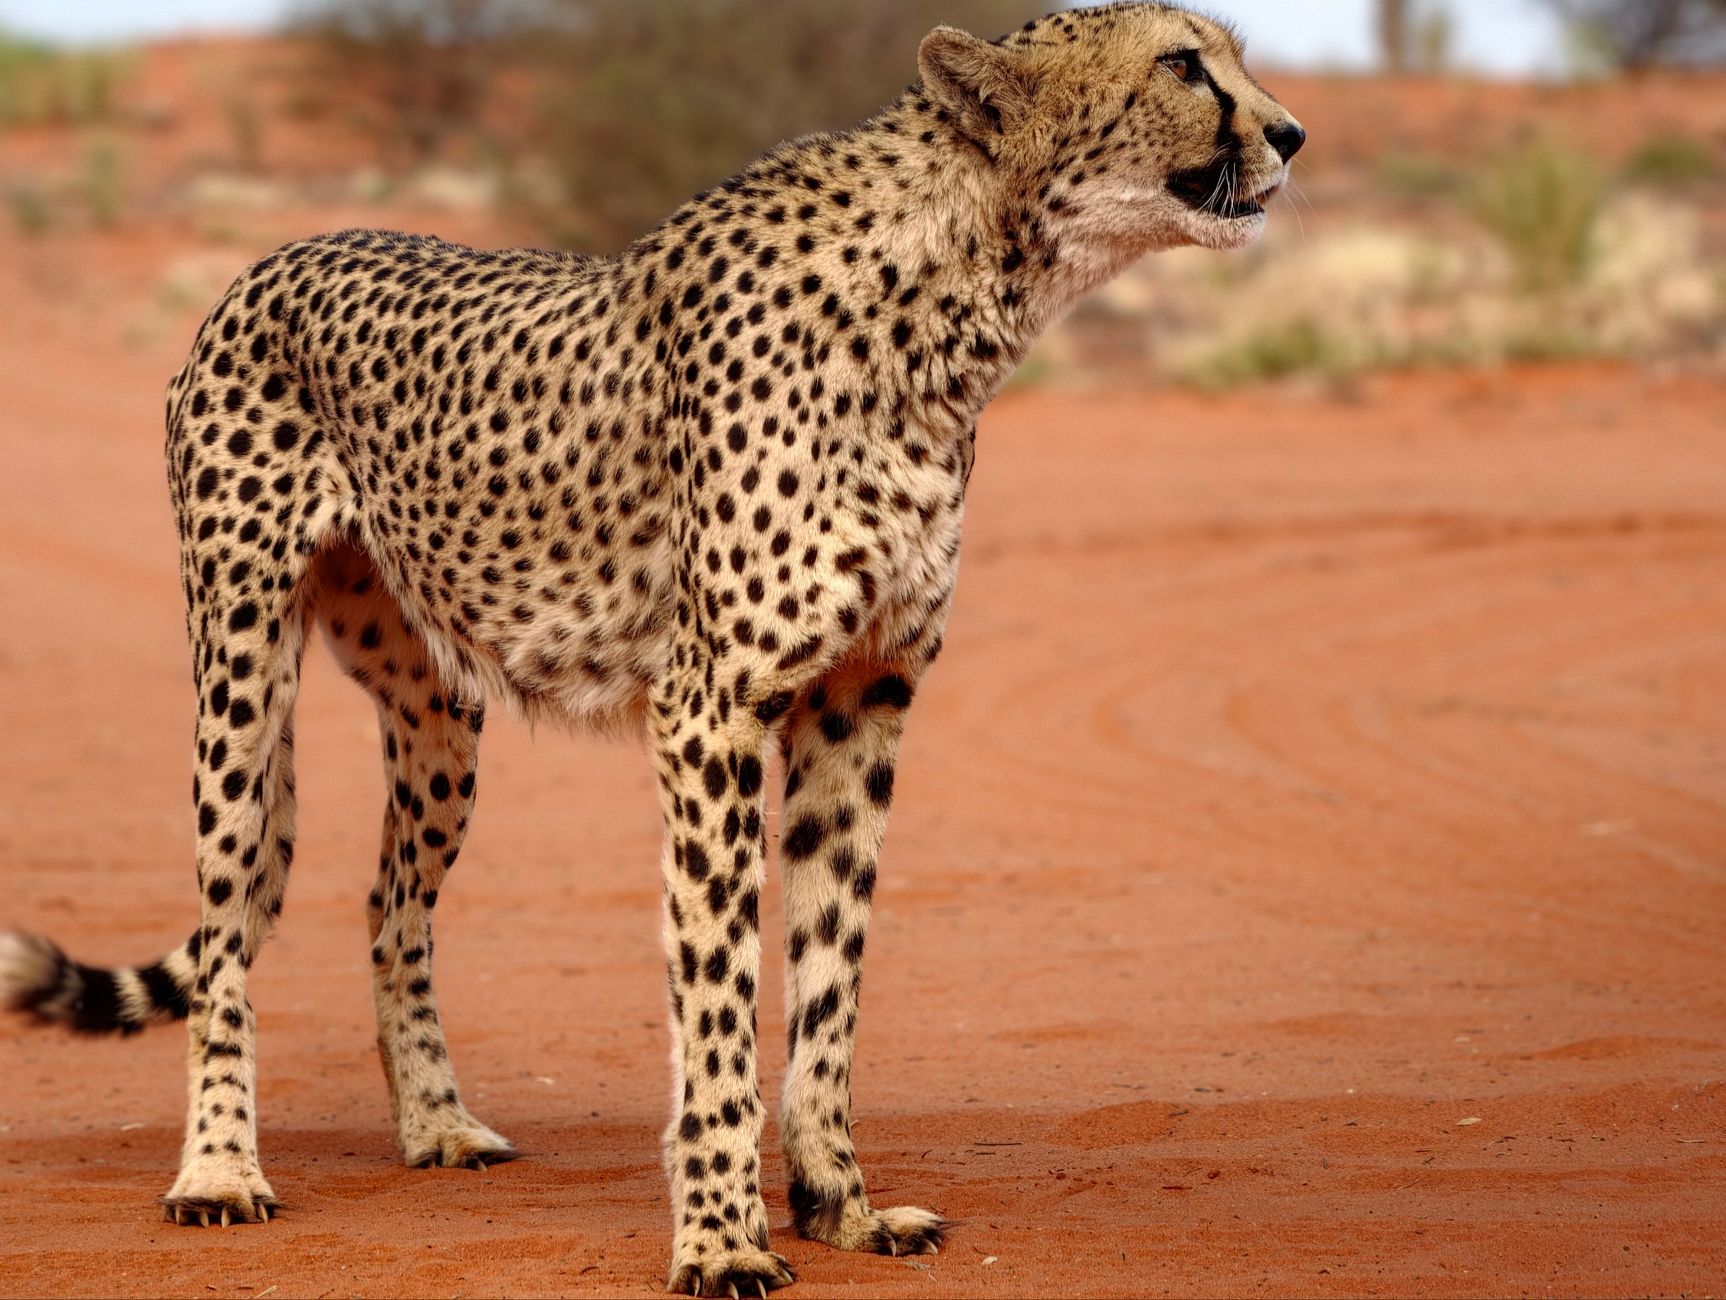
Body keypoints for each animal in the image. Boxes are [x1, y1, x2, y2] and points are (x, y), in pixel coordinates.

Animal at [0, 4, 1302, 1293]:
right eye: (1181, 63)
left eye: (1231, 54)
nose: (1290, 131)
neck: (951, 296)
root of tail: (277, 257)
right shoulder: (711, 708)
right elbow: (719, 985)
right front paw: (722, 1236)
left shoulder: (861, 697)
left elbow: (829, 973)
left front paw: (837, 1204)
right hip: (241, 664)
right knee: (226, 929)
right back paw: (220, 1169)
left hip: (438, 713)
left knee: (389, 901)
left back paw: (434, 1121)